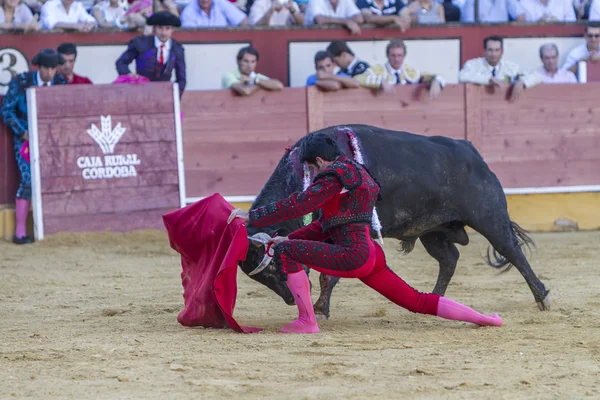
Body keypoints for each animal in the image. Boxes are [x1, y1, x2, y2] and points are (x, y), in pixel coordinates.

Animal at [237, 125, 552, 318]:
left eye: (274, 265)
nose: (291, 299)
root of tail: (472, 152)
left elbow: (329, 275)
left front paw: (321, 309)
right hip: (432, 231)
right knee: (449, 258)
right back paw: (435, 298)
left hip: (488, 216)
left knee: (511, 250)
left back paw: (542, 297)